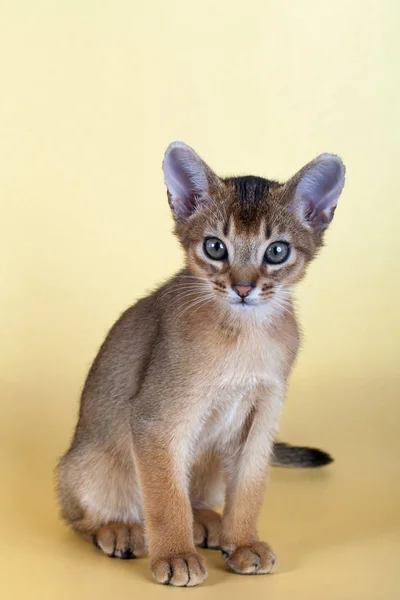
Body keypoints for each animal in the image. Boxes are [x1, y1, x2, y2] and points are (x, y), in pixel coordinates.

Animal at [56, 142, 344, 584]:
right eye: (215, 247)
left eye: (277, 251)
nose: (243, 288)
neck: (244, 336)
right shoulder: (155, 421)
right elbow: (165, 499)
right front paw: (175, 556)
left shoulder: (262, 418)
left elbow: (249, 489)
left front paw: (242, 543)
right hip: (88, 466)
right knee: (82, 518)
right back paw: (120, 529)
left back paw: (207, 522)